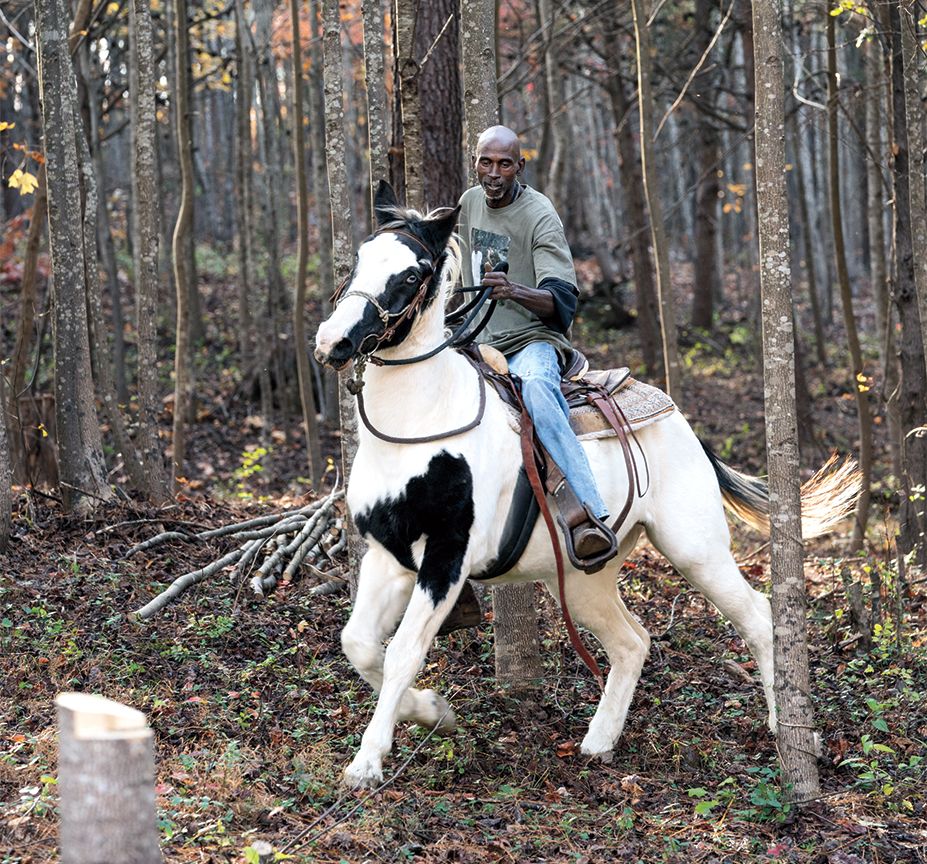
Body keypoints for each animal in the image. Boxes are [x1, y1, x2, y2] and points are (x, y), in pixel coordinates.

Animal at [314, 182, 864, 788]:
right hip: (583, 578)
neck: (419, 423)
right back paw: (599, 742)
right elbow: (360, 645)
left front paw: (368, 762)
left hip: (696, 551)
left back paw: (790, 733)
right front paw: (434, 710)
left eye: (412, 274)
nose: (332, 342)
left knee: (760, 620)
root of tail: (681, 421)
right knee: (631, 642)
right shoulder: (386, 554)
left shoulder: (447, 558)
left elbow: (404, 651)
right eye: (360, 258)